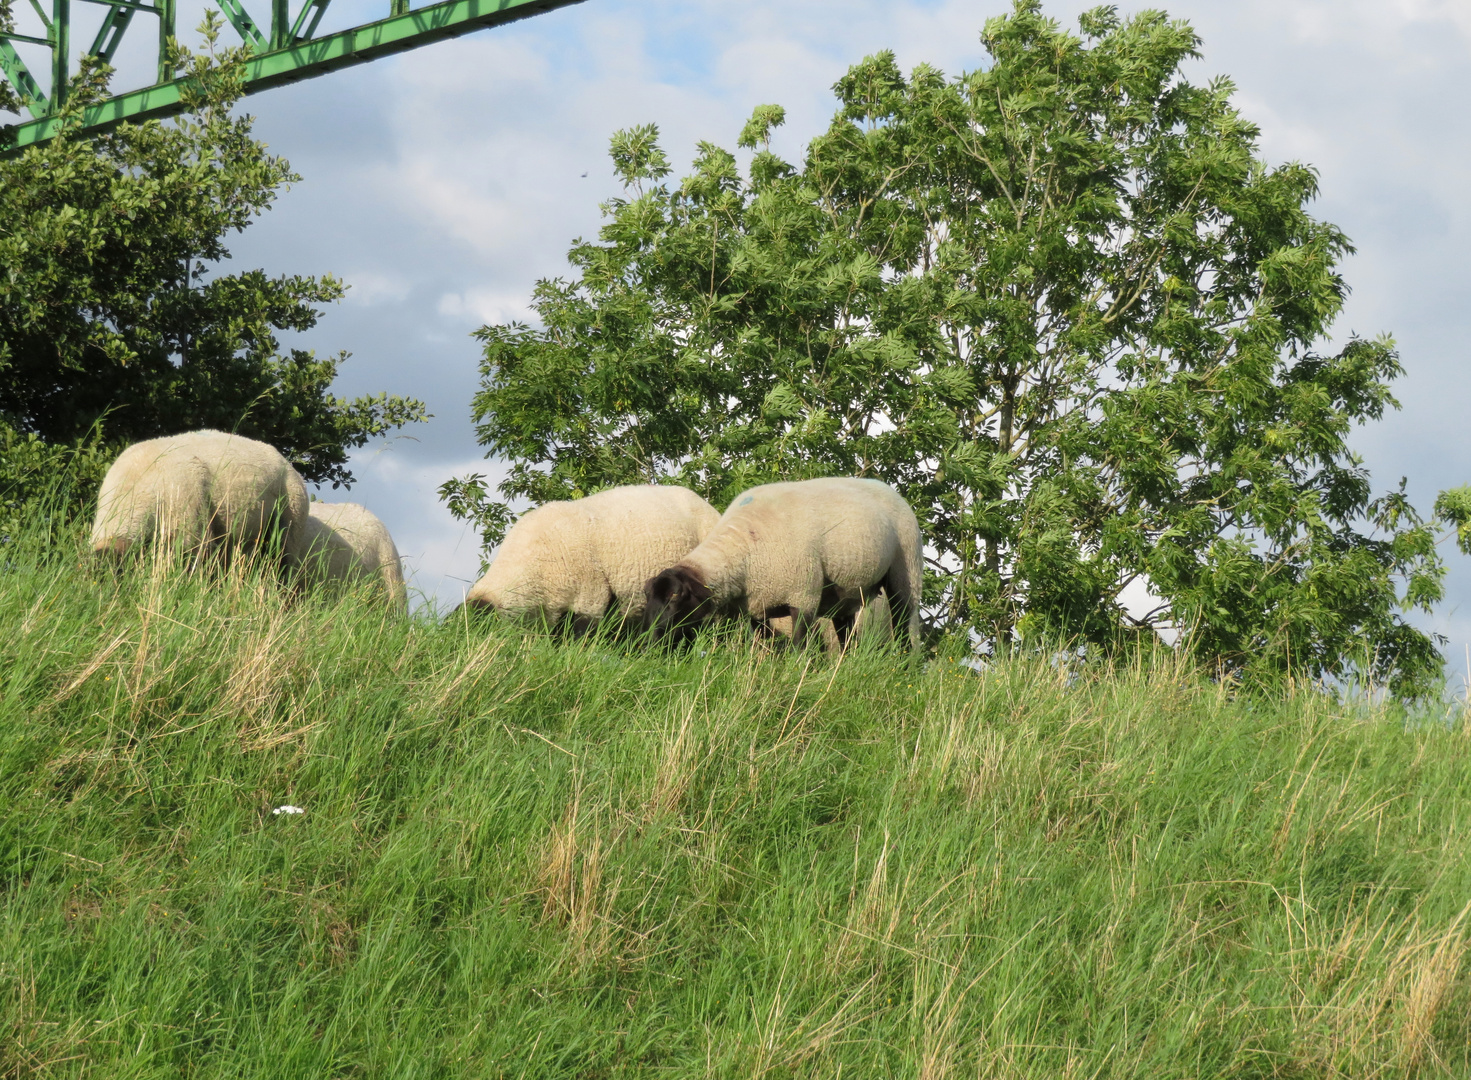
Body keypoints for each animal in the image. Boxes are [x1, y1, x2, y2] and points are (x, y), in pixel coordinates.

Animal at [644, 479, 917, 650]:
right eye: (647, 596)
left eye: (675, 596)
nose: (649, 642)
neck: (742, 548)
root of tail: (886, 487)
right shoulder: (757, 607)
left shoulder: (803, 596)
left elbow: (799, 647)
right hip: (846, 595)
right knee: (847, 637)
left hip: (906, 570)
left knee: (903, 623)